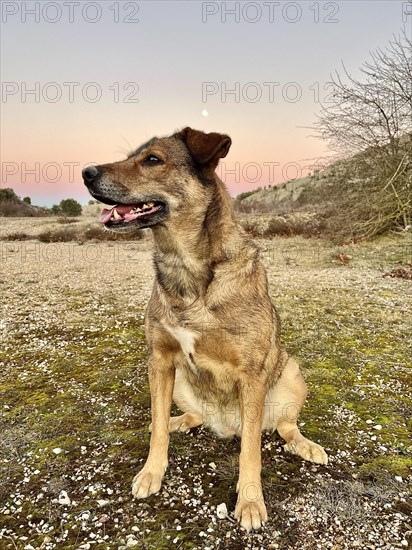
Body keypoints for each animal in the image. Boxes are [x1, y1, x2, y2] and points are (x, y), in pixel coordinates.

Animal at [83, 128, 328, 536]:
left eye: (152, 160)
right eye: (133, 156)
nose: (86, 172)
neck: (187, 268)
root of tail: (225, 426)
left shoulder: (251, 374)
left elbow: (251, 453)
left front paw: (250, 501)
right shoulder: (160, 360)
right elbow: (156, 428)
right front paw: (152, 471)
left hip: (290, 374)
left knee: (283, 427)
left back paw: (305, 445)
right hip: (181, 380)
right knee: (184, 416)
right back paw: (177, 420)